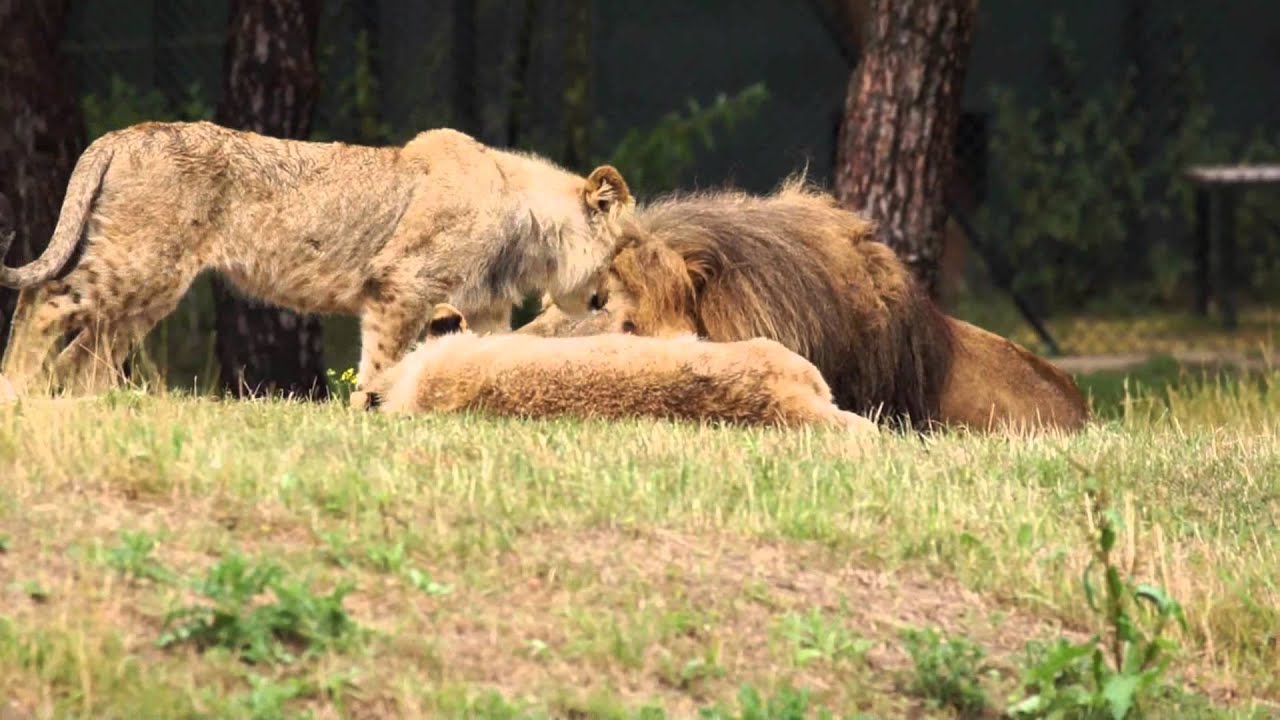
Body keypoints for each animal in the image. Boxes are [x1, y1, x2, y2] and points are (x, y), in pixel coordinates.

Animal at [0, 119, 632, 394]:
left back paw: (89, 406)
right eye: (620, 252)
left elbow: (494, 354)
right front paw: (369, 412)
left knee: (90, 344)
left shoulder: (485, 308)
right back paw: (16, 389)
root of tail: (120, 134)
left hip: (151, 285)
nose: (604, 299)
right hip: (140, 260)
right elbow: (382, 360)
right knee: (43, 297)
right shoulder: (400, 282)